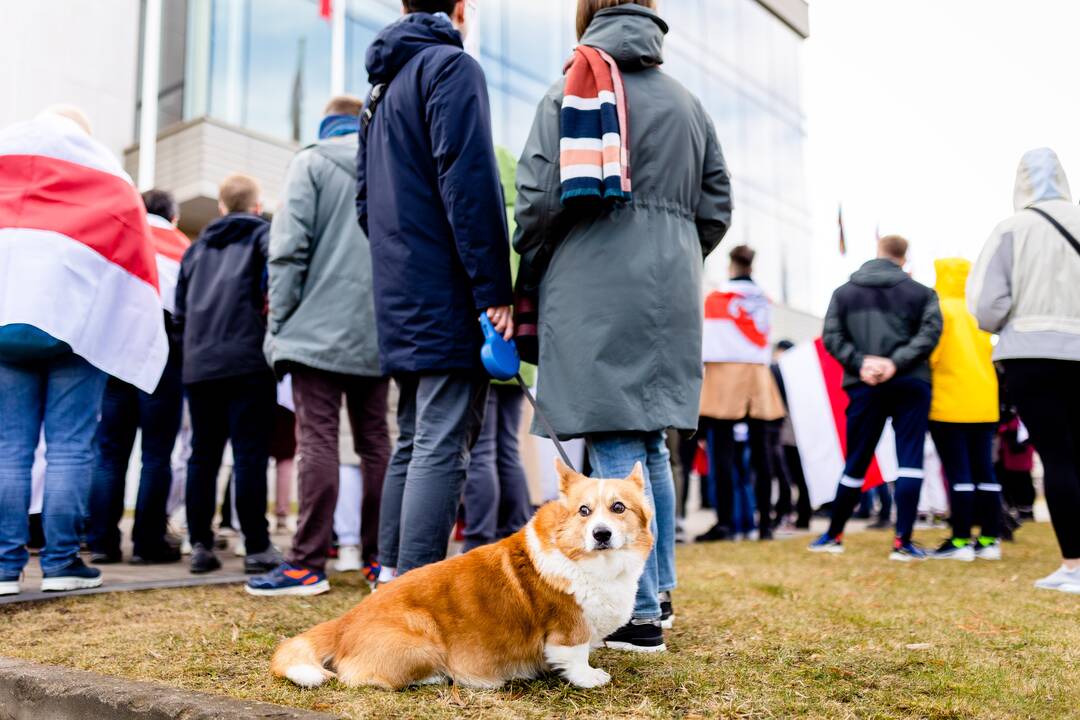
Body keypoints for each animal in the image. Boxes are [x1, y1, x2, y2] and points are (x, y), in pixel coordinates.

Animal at [274, 459, 652, 690]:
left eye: (618, 508)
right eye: (583, 511)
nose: (601, 534)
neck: (594, 563)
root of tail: (344, 622)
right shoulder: (567, 627)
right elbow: (574, 656)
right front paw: (590, 677)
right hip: (422, 641)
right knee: (360, 676)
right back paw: (436, 678)